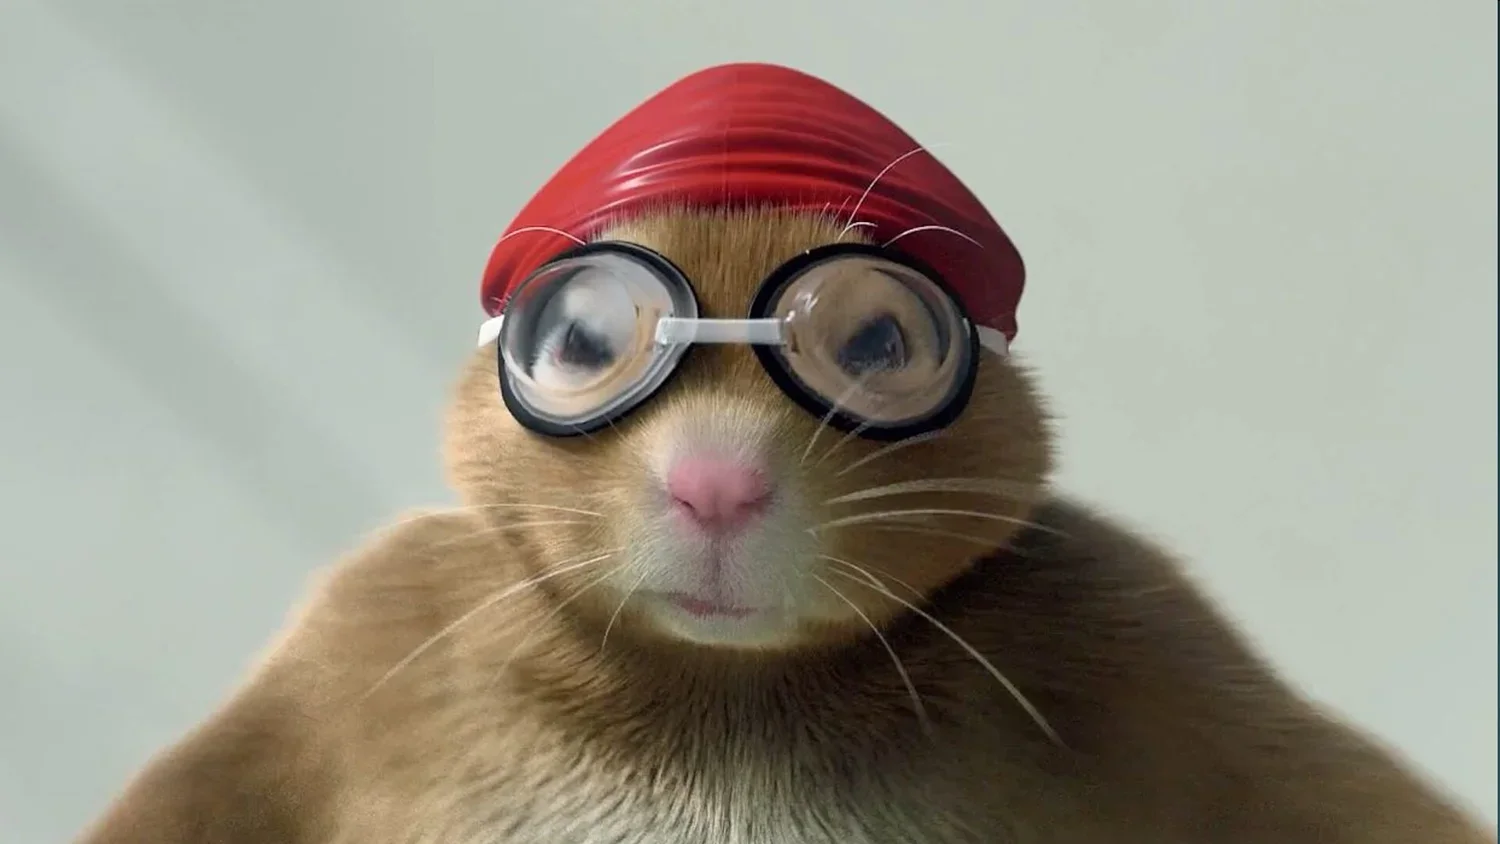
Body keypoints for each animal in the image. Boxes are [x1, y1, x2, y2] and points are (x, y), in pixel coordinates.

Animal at [72, 206, 1492, 844]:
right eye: (580, 336)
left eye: (876, 342)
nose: (715, 487)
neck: (727, 698)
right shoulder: (361, 643)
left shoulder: (1155, 652)